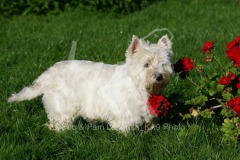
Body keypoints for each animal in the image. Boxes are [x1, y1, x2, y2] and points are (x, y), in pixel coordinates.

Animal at [7, 35, 172, 132]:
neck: (138, 86)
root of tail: (47, 75)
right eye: (146, 64)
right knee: (60, 122)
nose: (159, 76)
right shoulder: (123, 113)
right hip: (63, 105)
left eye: (163, 64)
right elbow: (124, 128)